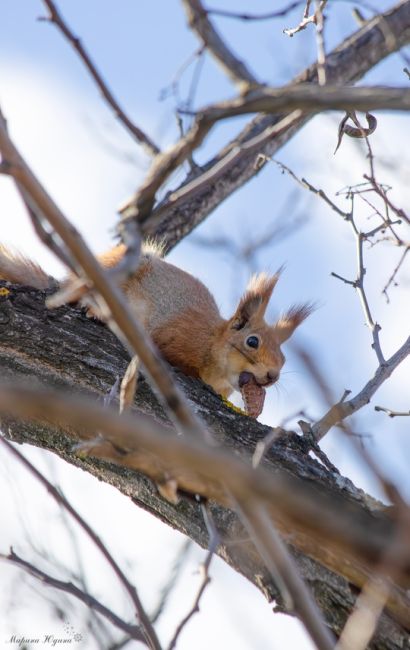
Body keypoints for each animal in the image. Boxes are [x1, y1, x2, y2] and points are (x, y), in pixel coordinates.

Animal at [0, 240, 312, 418]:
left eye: (284, 359)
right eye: (252, 342)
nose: (272, 376)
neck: (212, 344)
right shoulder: (174, 337)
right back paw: (94, 309)